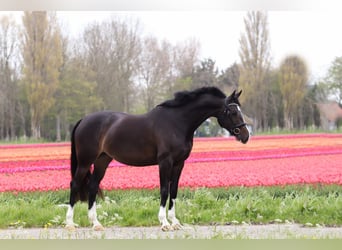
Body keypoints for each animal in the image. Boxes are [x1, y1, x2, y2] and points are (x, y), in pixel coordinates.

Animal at [65, 86, 250, 230]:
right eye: (233, 111)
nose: (245, 136)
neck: (177, 122)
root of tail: (84, 120)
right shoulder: (165, 162)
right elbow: (164, 190)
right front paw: (164, 223)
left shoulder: (179, 163)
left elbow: (174, 190)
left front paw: (175, 222)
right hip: (85, 161)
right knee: (75, 184)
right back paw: (70, 223)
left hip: (102, 161)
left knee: (93, 186)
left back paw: (96, 223)